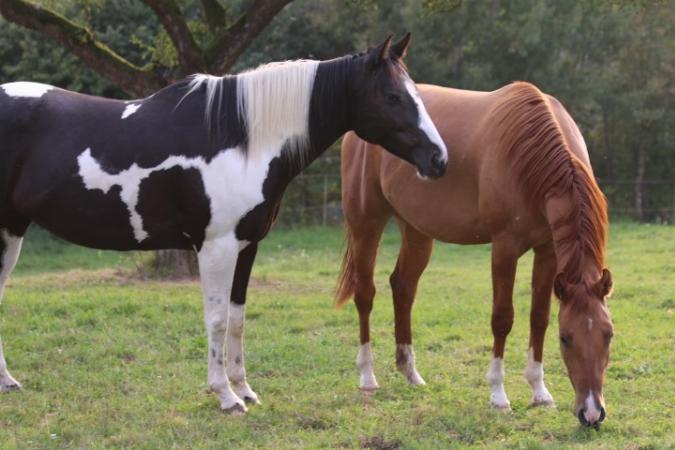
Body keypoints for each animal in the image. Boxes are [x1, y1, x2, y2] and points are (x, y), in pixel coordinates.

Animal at [0, 34, 448, 414]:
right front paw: (225, 396)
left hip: (12, 230)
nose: (439, 159)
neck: (242, 137)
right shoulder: (216, 247)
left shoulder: (247, 245)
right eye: (392, 96)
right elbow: (215, 321)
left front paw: (244, 389)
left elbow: (237, 318)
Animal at [336, 82, 614, 427]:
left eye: (608, 335)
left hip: (416, 230)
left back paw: (411, 373)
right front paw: (498, 396)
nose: (592, 413)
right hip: (366, 223)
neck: (530, 156)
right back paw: (367, 376)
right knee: (365, 294)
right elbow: (502, 318)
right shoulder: (505, 248)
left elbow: (539, 317)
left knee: (403, 288)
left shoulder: (548, 251)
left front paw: (540, 392)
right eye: (566, 338)